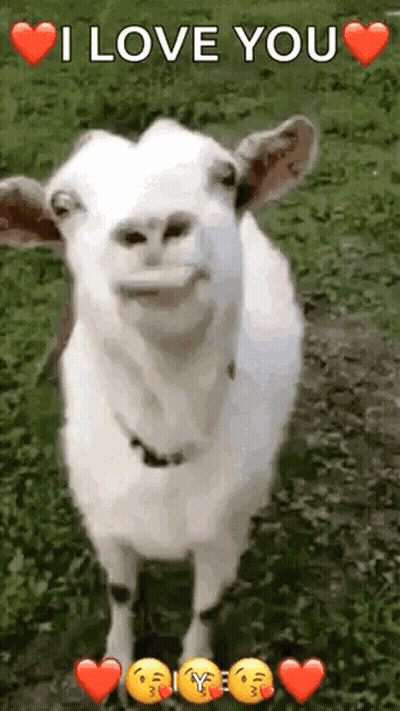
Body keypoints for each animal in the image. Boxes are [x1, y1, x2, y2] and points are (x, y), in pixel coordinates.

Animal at [0, 116, 316, 706]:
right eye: (62, 204)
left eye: (226, 176)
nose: (151, 228)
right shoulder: (104, 520)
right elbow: (121, 592)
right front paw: (118, 666)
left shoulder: (224, 532)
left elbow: (207, 605)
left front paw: (195, 669)